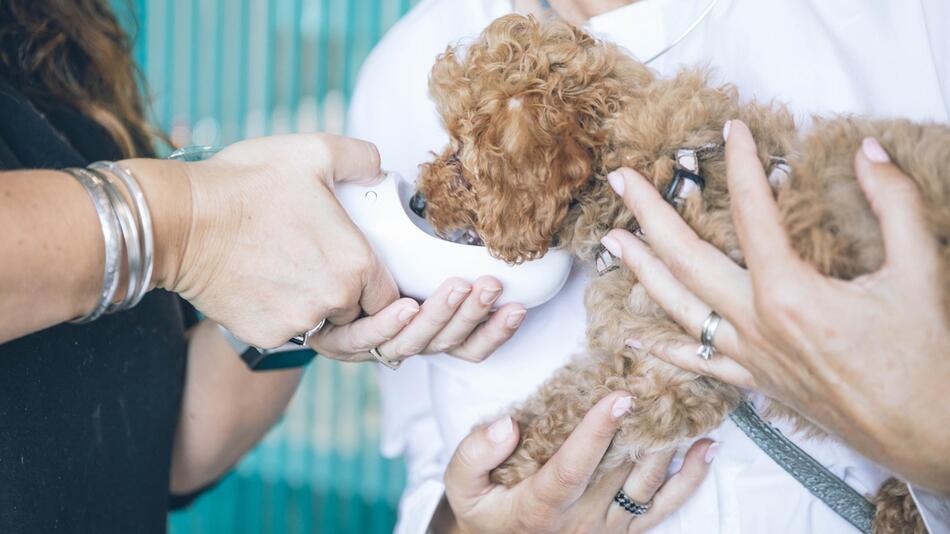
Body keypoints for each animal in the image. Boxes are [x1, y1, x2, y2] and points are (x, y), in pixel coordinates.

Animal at [416, 13, 944, 534]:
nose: (418, 201)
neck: (651, 177)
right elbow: (569, 392)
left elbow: (568, 414)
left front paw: (508, 457)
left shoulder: (667, 373)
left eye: (462, 151)